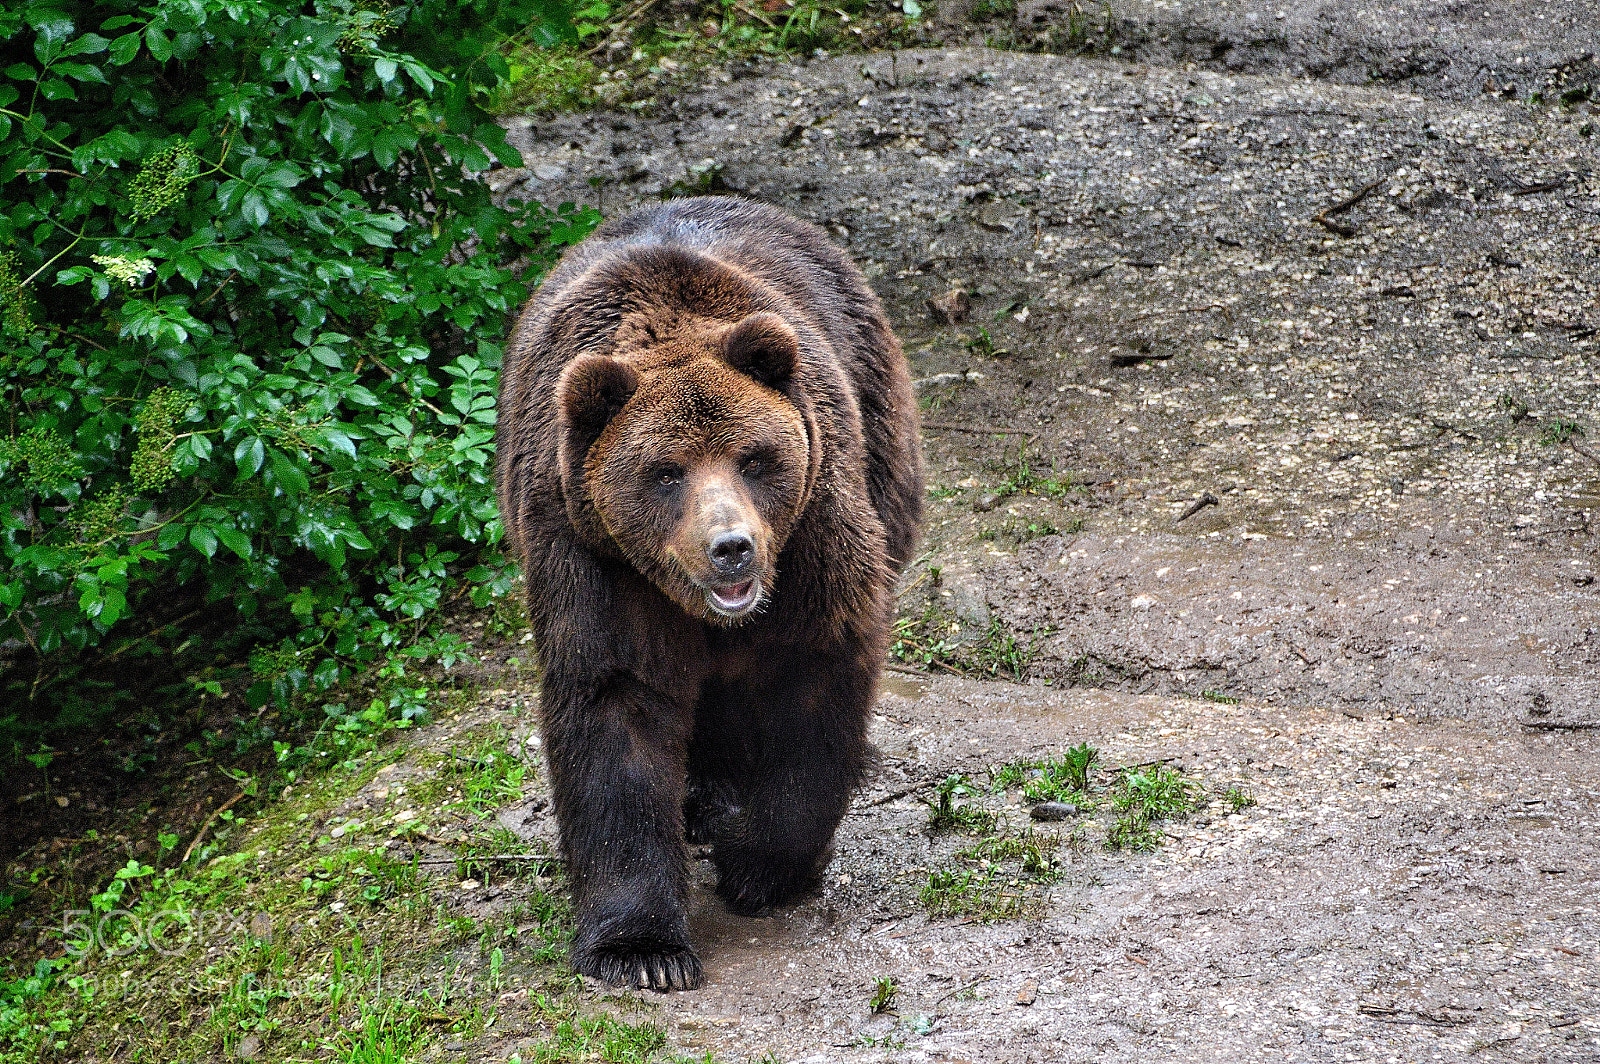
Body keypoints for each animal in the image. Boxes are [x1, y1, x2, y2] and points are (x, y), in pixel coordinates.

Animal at [494, 197, 923, 991]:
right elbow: (616, 708)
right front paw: (641, 949)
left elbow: (813, 680)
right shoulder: (593, 555)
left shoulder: (811, 536)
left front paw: (761, 868)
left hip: (881, 437)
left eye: (754, 458)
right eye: (665, 471)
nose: (732, 546)